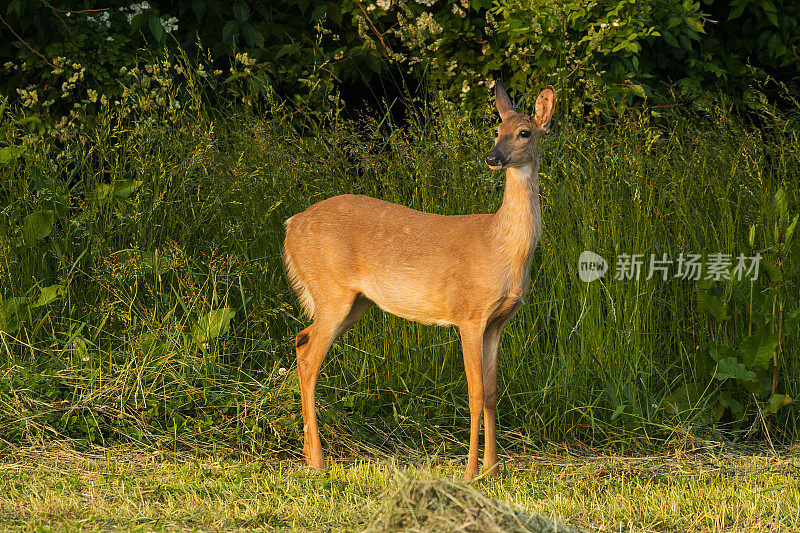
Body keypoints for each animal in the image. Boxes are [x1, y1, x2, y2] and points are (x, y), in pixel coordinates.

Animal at [282, 80, 556, 478]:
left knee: (301, 341)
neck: (502, 248)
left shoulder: (498, 321)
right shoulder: (469, 314)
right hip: (331, 290)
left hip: (354, 302)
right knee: (308, 360)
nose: (493, 157)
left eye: (524, 133)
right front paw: (470, 471)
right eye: (496, 130)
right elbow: (474, 393)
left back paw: (308, 454)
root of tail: (291, 226)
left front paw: (493, 468)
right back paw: (317, 460)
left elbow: (491, 393)